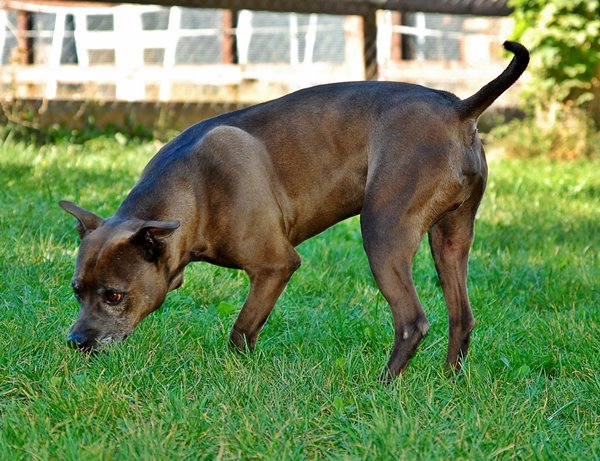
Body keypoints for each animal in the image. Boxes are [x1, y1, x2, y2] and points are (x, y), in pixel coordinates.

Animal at [60, 41, 528, 379]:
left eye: (115, 295)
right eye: (76, 290)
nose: (76, 341)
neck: (193, 187)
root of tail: (458, 109)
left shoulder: (275, 266)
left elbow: (241, 331)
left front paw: (239, 375)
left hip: (382, 233)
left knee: (412, 321)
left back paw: (383, 386)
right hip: (450, 240)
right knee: (461, 318)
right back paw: (450, 382)